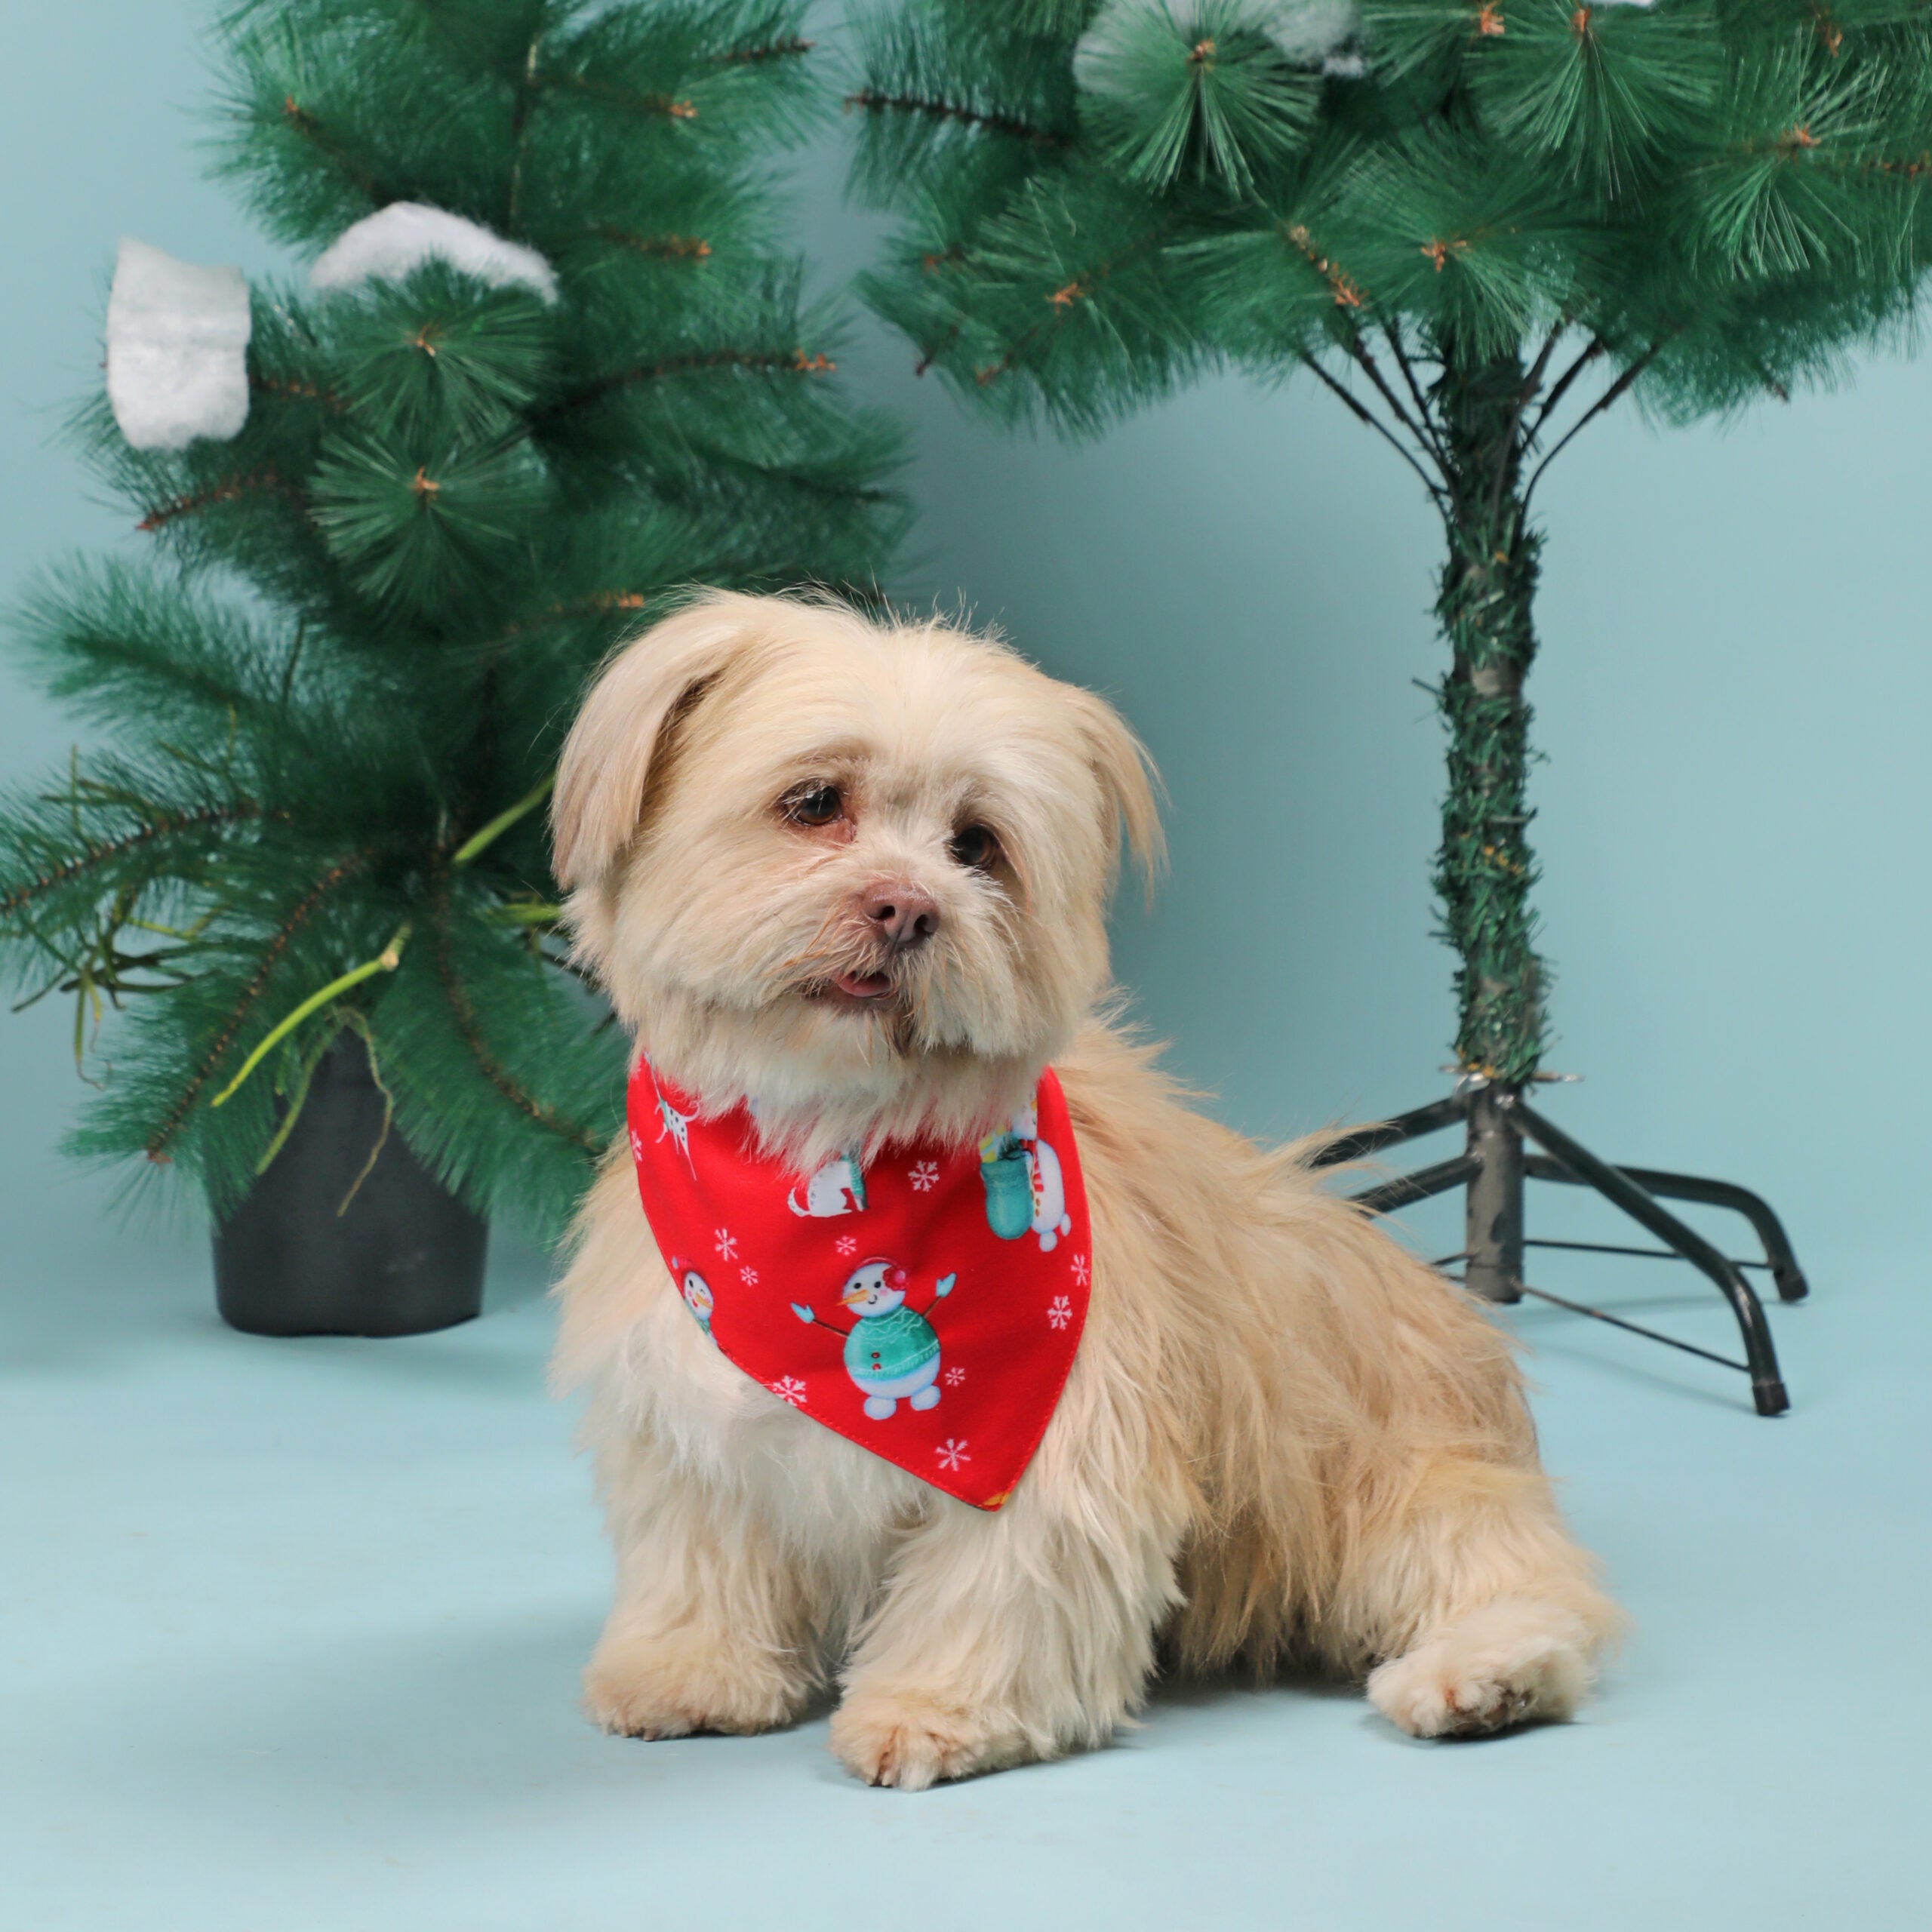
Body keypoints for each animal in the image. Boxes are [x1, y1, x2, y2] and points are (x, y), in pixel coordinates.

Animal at [552, 591, 1623, 1792]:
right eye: (814, 802)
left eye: (977, 845)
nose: (906, 909)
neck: (833, 1151)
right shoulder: (694, 1421)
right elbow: (704, 1561)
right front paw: (691, 1670)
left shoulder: (1052, 1445)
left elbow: (1000, 1581)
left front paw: (937, 1708)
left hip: (1392, 1484)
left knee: (1518, 1581)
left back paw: (1486, 1673)